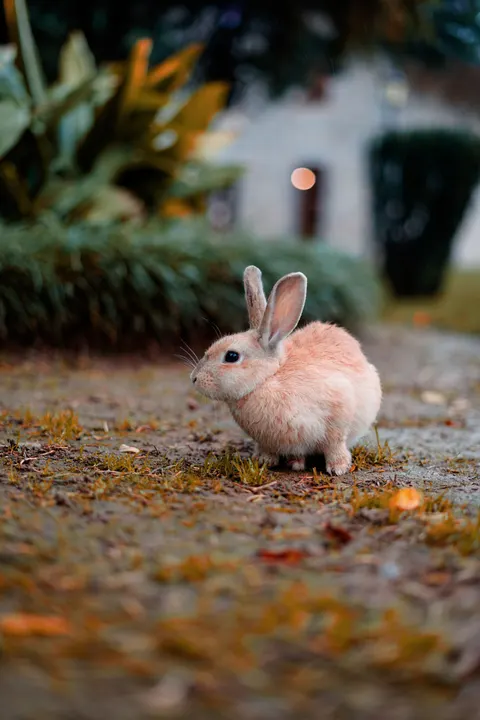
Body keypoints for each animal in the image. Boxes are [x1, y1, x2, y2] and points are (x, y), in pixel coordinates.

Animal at [190, 265, 382, 475]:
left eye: (231, 356)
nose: (194, 378)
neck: (269, 378)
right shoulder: (267, 441)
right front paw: (264, 461)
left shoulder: (339, 410)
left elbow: (334, 444)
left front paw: (338, 468)